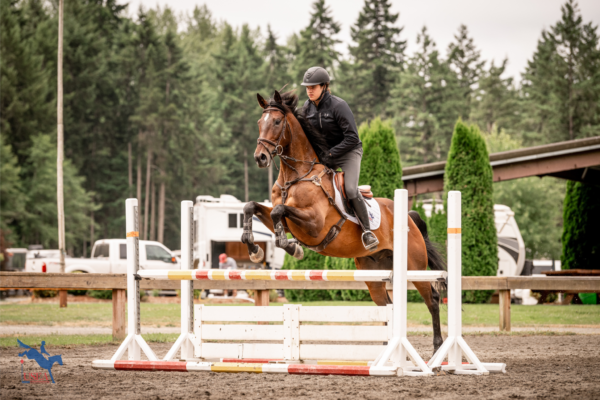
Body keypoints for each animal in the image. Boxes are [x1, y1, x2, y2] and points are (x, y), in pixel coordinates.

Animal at [240, 89, 446, 352]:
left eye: (276, 122)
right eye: (259, 122)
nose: (261, 157)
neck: (296, 177)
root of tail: (409, 219)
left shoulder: (314, 225)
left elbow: (279, 211)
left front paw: (293, 248)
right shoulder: (285, 219)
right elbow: (252, 206)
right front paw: (254, 250)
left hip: (413, 266)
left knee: (432, 299)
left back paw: (438, 348)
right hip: (373, 273)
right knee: (387, 306)